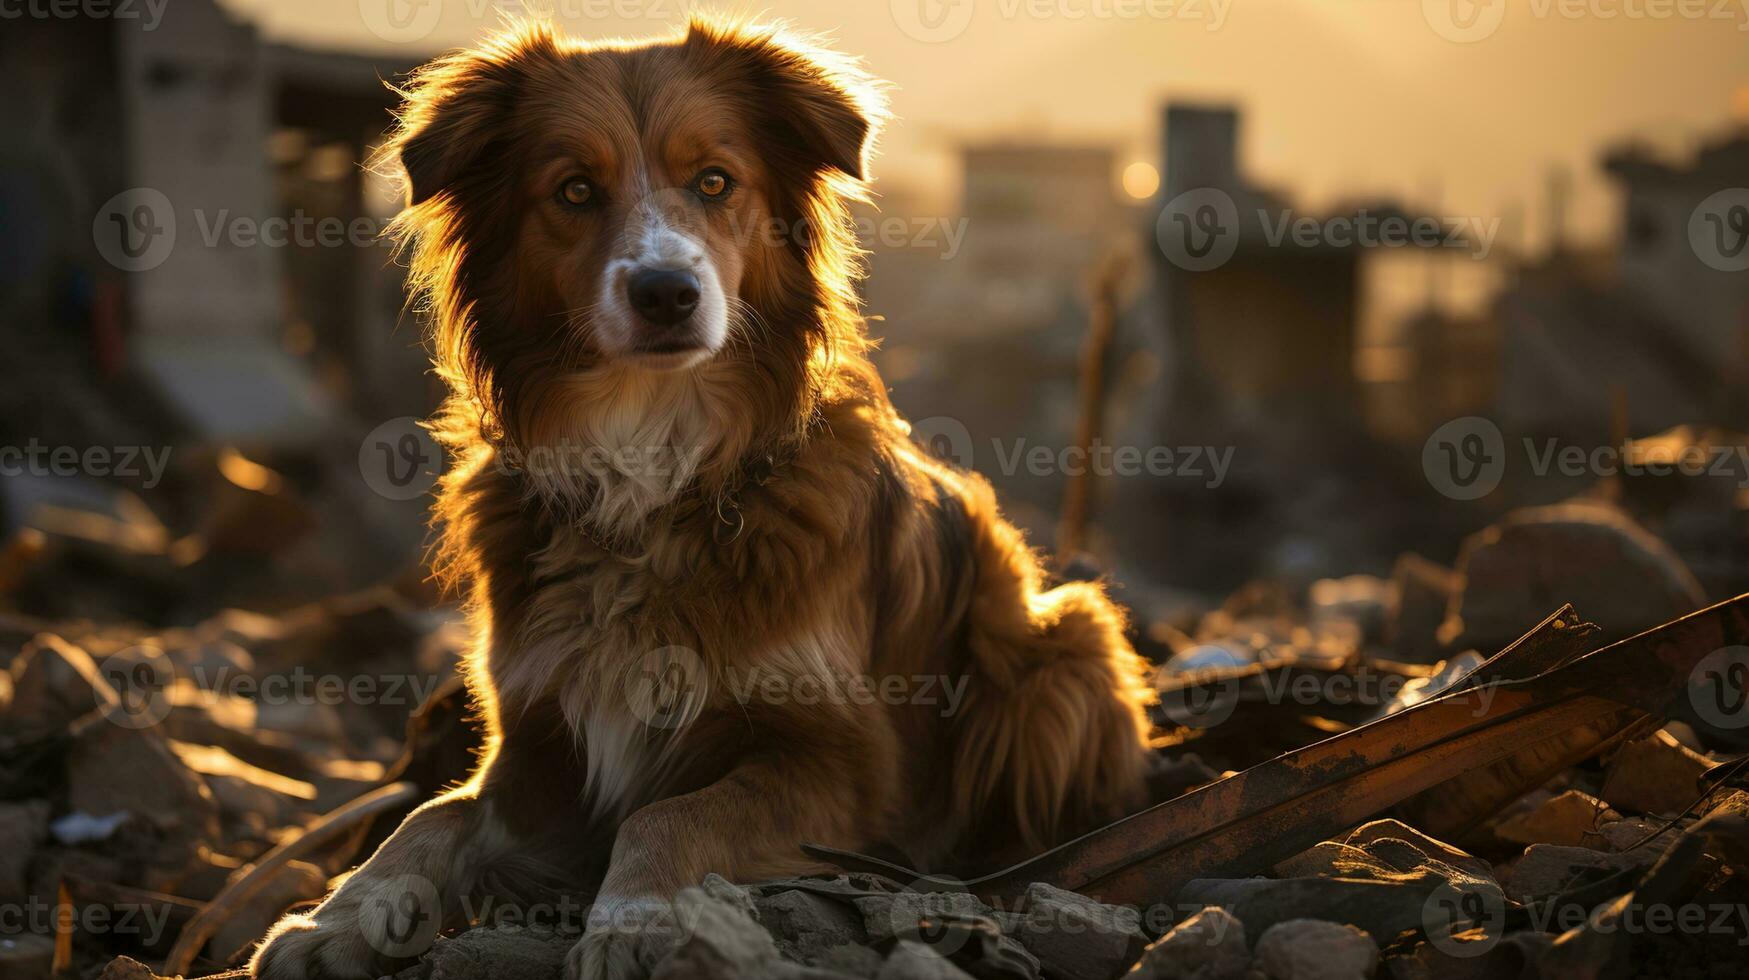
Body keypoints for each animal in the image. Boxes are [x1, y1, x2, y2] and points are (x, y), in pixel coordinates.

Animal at [246, 15, 1147, 980]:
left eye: (715, 181)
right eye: (573, 190)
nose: (666, 292)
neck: (655, 462)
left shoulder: (846, 764)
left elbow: (669, 812)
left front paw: (633, 917)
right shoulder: (538, 739)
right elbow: (433, 813)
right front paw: (340, 915)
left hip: (1061, 647)